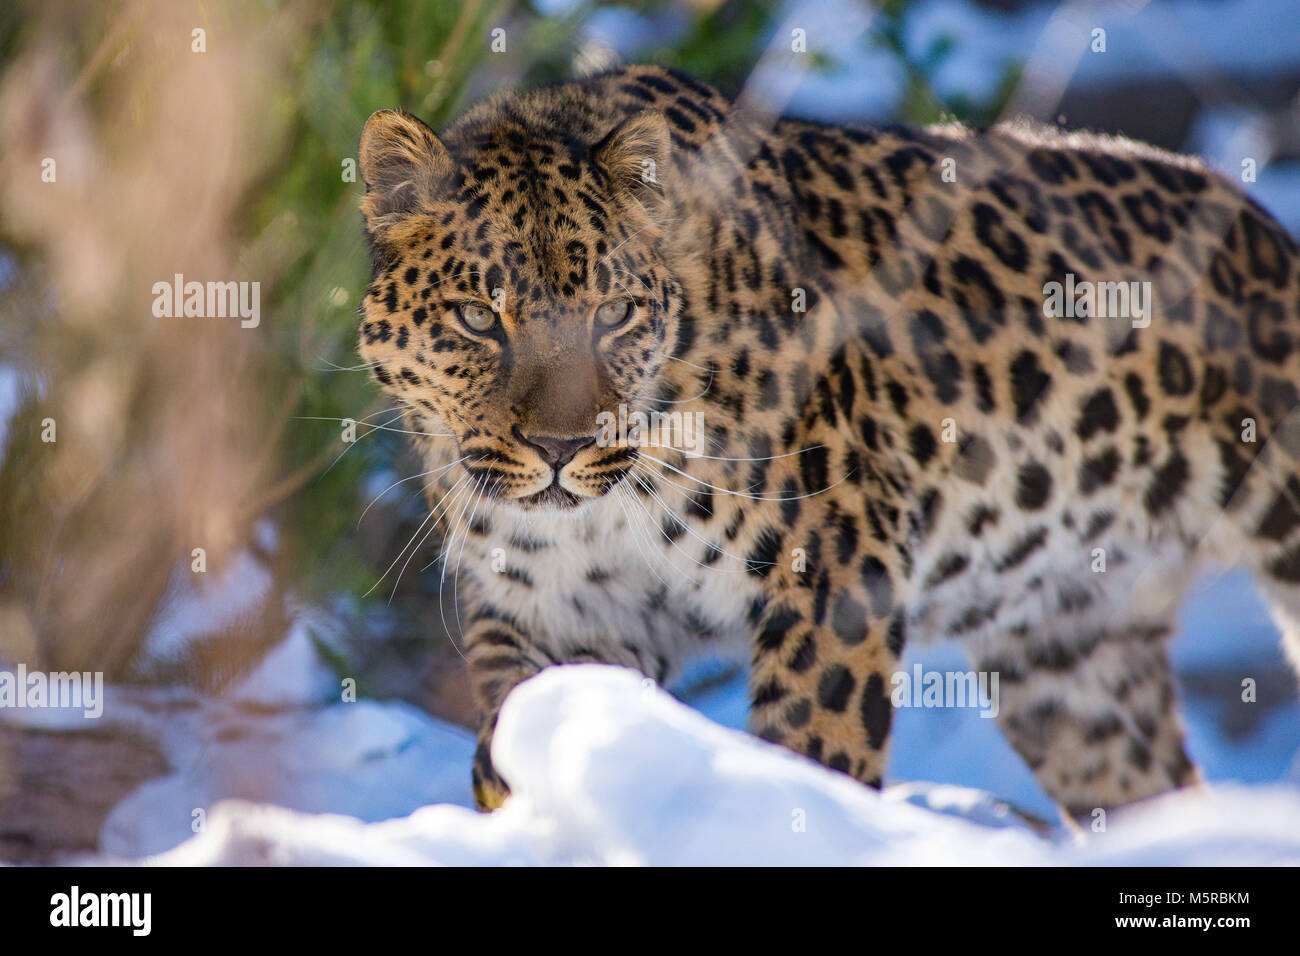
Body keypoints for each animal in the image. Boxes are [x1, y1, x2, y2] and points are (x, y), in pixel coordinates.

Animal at [354, 64, 1300, 821]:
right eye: (480, 317)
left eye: (612, 314)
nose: (561, 446)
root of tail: (1269, 229)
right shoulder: (550, 609)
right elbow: (523, 713)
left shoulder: (839, 567)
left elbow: (814, 751)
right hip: (1074, 668)